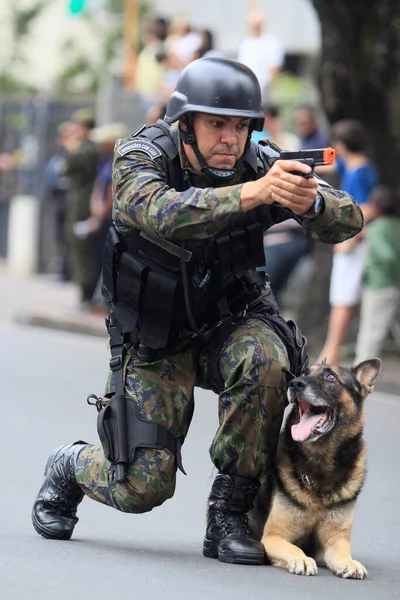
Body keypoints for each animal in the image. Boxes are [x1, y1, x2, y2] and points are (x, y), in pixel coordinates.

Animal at [255, 358, 380, 580]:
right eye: (304, 373)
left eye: (330, 377)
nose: (295, 383)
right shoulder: (272, 537)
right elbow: (294, 548)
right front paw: (302, 559)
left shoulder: (335, 541)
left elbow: (343, 553)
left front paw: (350, 563)